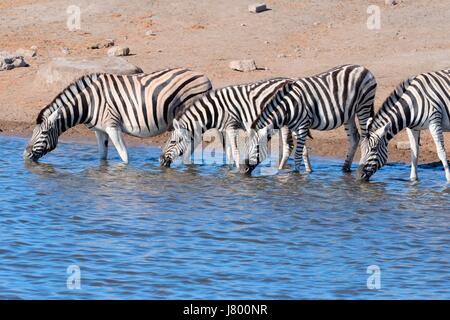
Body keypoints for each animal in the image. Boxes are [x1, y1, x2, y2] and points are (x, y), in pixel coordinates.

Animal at [23, 67, 214, 162]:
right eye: (32, 132)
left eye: (44, 133)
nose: (25, 155)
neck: (89, 103)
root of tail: (205, 77)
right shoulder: (99, 131)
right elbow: (102, 156)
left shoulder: (112, 126)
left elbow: (124, 156)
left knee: (193, 141)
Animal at [157, 77, 310, 170]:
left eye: (172, 142)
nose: (161, 161)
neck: (215, 110)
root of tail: (291, 80)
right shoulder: (225, 128)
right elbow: (229, 151)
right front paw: (229, 169)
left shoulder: (232, 125)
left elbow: (235, 151)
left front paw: (237, 170)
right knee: (301, 147)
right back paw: (307, 171)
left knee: (289, 146)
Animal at [243, 64, 376, 175]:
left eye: (256, 147)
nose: (243, 170)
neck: (288, 107)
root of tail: (362, 68)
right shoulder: (296, 128)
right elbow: (303, 151)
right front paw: (307, 171)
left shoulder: (303, 125)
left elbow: (298, 154)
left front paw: (296, 175)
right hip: (349, 113)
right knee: (354, 138)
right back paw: (345, 169)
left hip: (364, 106)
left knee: (365, 138)